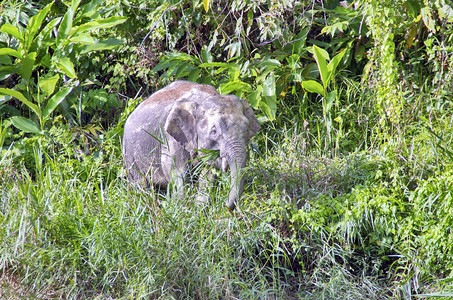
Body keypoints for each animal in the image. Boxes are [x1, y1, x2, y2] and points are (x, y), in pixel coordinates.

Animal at [122, 79, 260, 211]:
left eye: (246, 128)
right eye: (214, 131)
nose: (224, 205)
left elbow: (208, 174)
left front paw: (200, 207)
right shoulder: (171, 139)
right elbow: (178, 173)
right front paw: (183, 208)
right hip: (130, 156)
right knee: (140, 186)